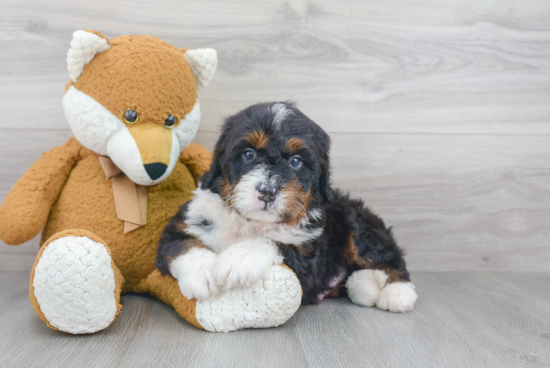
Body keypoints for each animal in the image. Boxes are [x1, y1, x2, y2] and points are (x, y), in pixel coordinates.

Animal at [157, 102, 420, 312]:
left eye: (296, 161)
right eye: (248, 154)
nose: (267, 191)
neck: (250, 222)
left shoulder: (308, 255)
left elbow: (274, 241)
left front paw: (239, 258)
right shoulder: (186, 221)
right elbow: (182, 243)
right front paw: (201, 275)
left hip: (356, 224)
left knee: (389, 257)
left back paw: (397, 293)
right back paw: (363, 284)